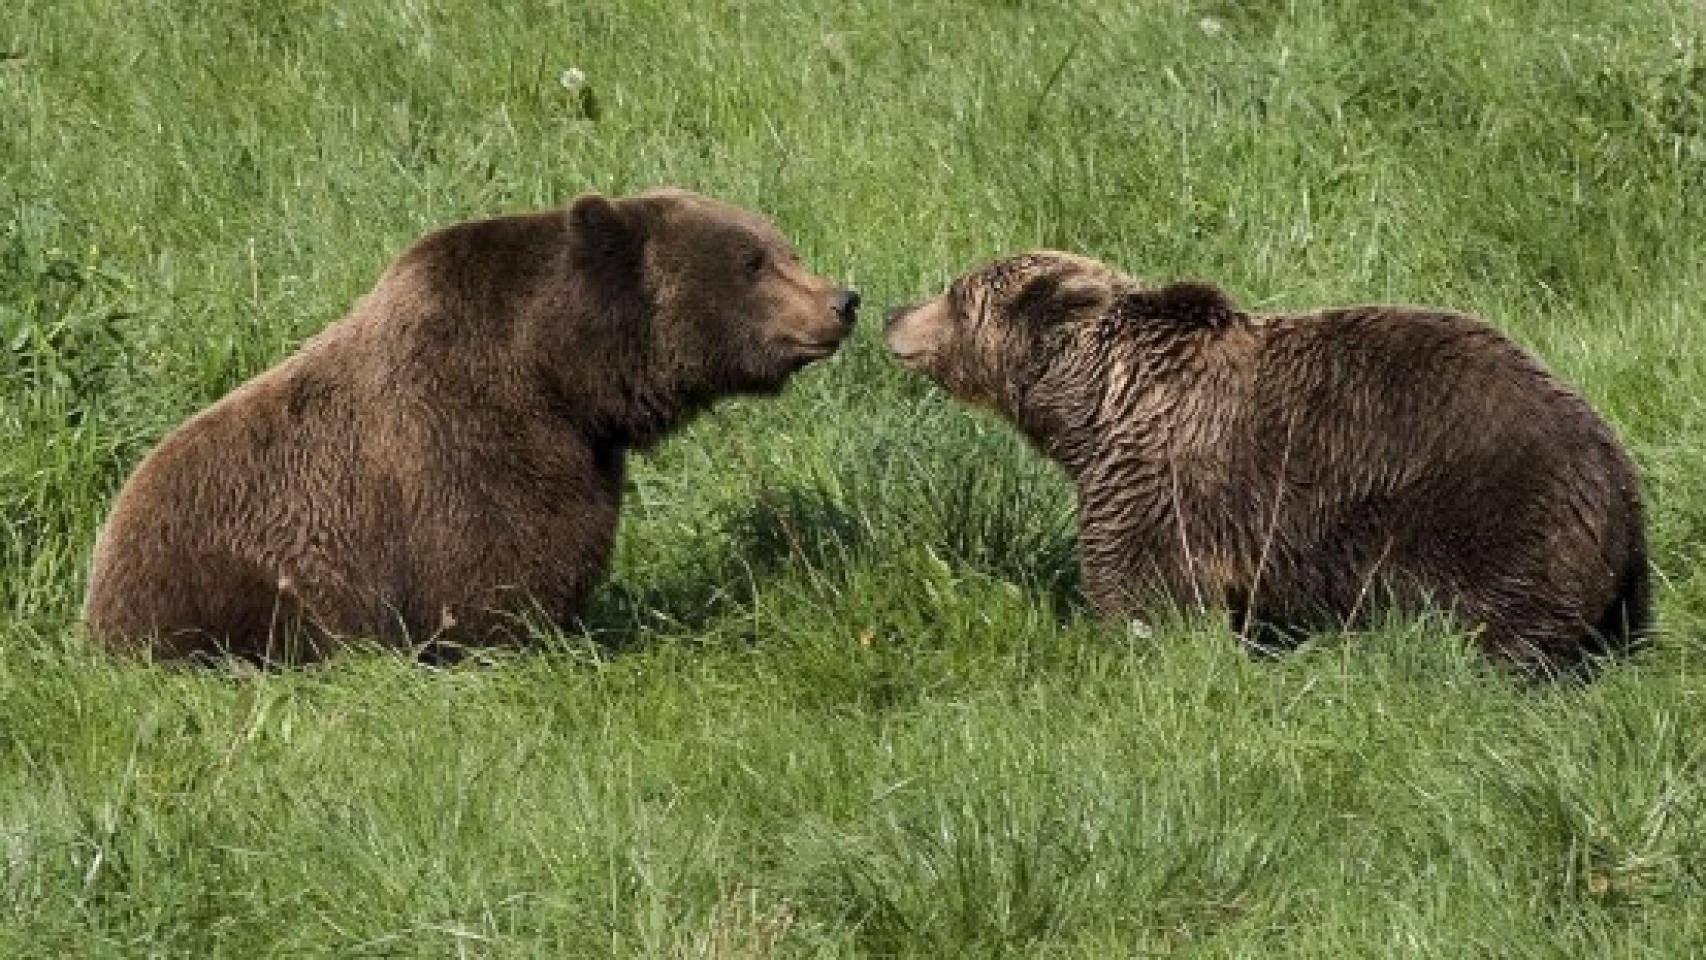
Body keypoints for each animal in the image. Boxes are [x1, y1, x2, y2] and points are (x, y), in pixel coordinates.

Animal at [887, 252, 1644, 678]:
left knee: (1503, 633)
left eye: (956, 294)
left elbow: (1147, 595)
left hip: (1494, 521)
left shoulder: (1157, 487)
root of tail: (1622, 483)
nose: (894, 311)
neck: (1096, 410)